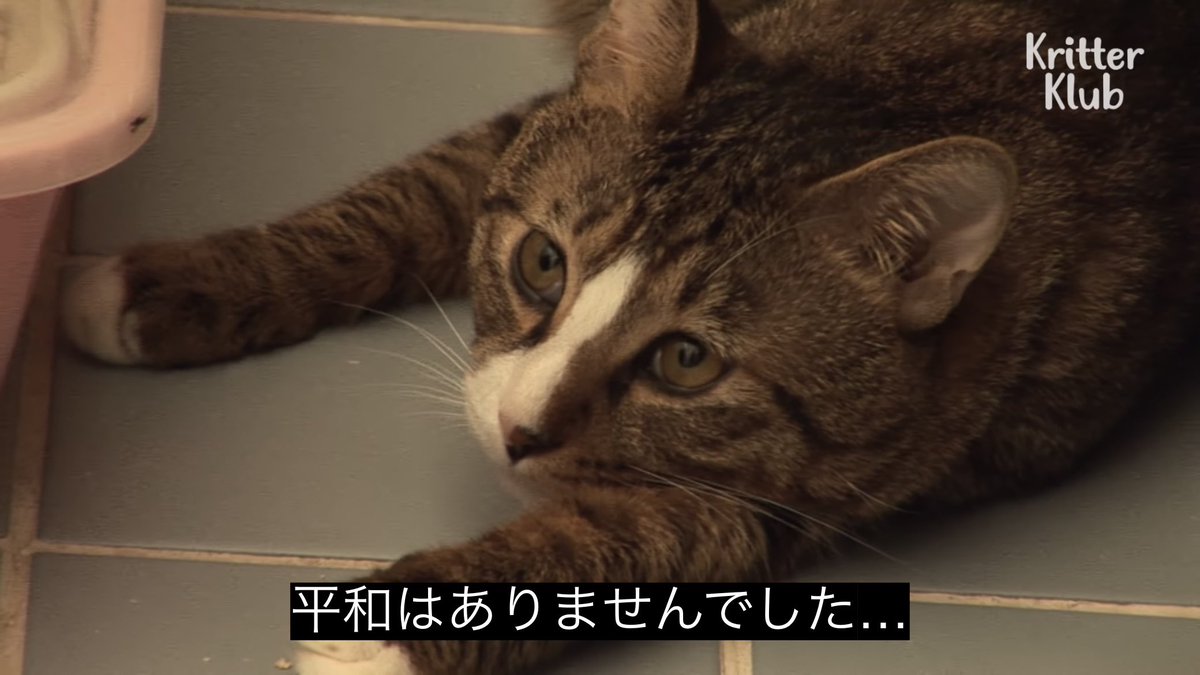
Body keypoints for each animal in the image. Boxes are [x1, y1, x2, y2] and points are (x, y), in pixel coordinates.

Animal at [60, 0, 1199, 673]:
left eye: (687, 361)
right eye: (542, 263)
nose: (518, 433)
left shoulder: (831, 480)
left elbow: (625, 533)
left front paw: (399, 631)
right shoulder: (521, 129)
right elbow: (398, 204)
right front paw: (183, 281)